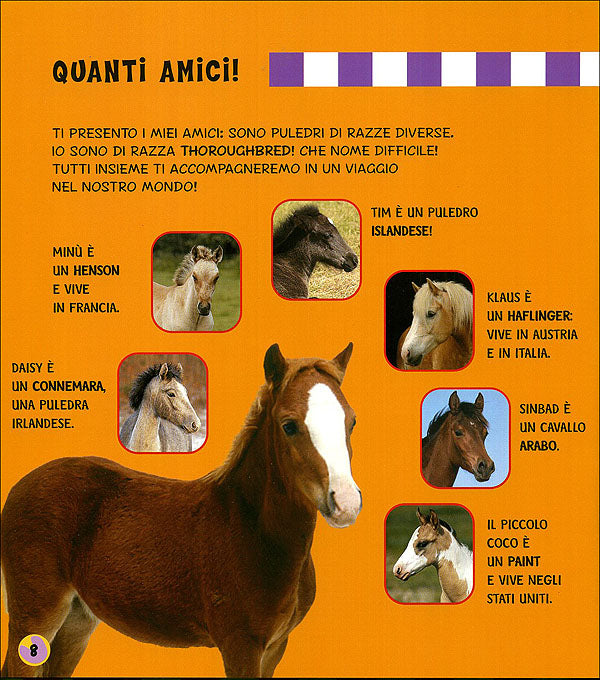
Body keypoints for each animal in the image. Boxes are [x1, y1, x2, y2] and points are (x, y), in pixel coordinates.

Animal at [1, 343, 361, 678]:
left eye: (352, 421)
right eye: (288, 425)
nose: (346, 502)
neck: (250, 528)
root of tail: (17, 487)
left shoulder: (276, 646)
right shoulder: (240, 645)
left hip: (76, 621)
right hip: (35, 617)